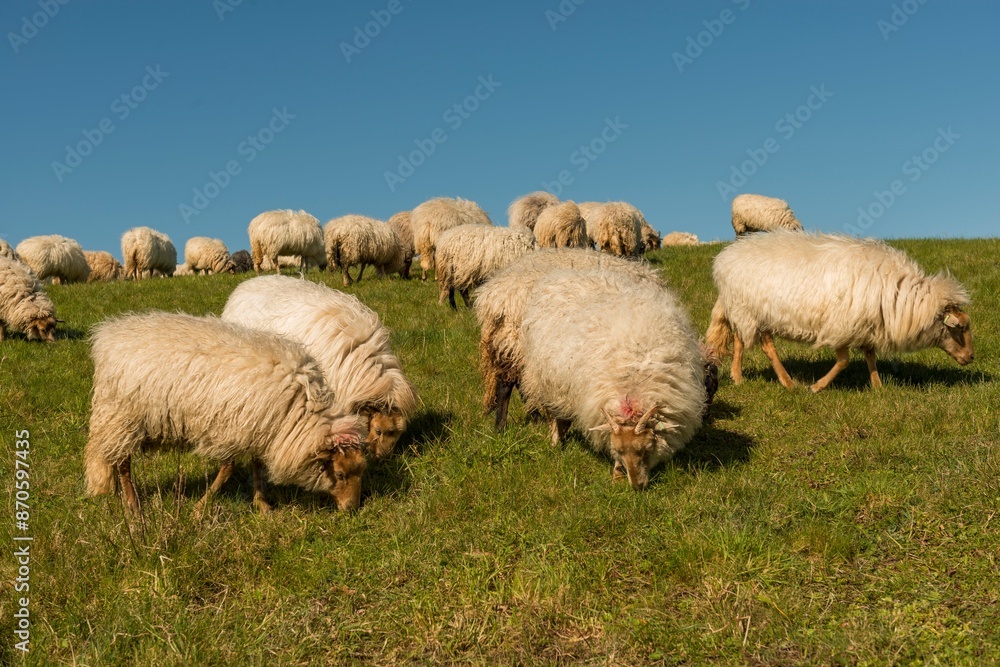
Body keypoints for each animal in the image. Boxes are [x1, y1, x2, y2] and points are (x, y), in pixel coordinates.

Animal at [84, 312, 368, 515]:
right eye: (340, 474)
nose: (352, 510)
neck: (297, 412)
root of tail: (109, 335)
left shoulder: (258, 427)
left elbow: (256, 465)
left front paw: (262, 505)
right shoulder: (229, 429)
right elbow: (227, 469)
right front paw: (200, 508)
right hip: (122, 417)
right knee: (122, 463)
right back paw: (132, 505)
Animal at [474, 248, 664, 430]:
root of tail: (495, 297)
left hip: (514, 342)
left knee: (516, 382)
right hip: (517, 341)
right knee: (508, 383)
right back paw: (505, 425)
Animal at [519, 269, 707, 489]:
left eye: (646, 448)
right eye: (618, 450)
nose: (637, 486)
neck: (634, 383)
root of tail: (562, 274)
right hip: (544, 381)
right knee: (552, 415)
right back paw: (556, 442)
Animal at [705, 230, 974, 392]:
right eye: (959, 327)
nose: (971, 357)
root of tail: (725, 257)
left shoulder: (866, 325)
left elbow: (870, 355)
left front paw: (877, 385)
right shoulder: (841, 326)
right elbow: (844, 361)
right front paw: (817, 387)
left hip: (747, 311)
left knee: (740, 340)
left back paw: (739, 377)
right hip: (750, 310)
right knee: (764, 347)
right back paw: (785, 382)